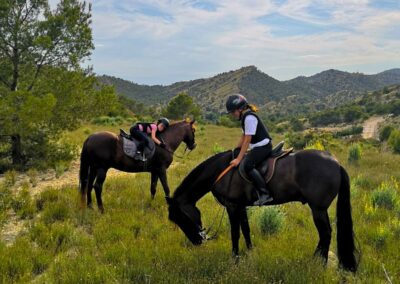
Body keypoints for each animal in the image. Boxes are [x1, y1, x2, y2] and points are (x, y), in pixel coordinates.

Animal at [168, 148, 360, 272]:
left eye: (179, 218)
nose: (197, 241)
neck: (221, 170)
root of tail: (336, 163)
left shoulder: (232, 206)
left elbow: (235, 233)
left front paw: (235, 259)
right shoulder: (241, 206)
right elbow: (246, 230)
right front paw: (250, 252)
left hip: (318, 209)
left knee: (325, 233)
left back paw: (320, 264)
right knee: (324, 234)